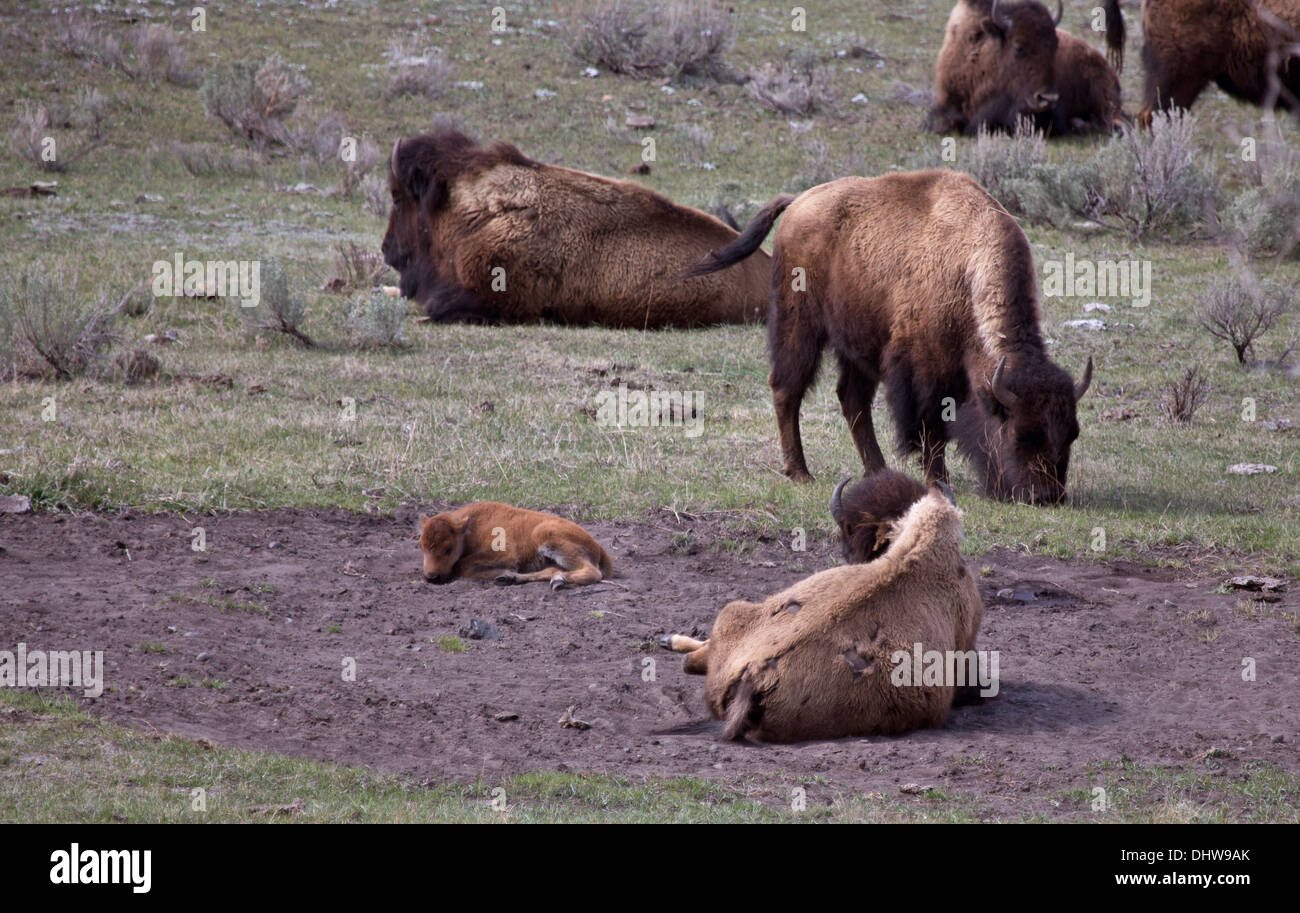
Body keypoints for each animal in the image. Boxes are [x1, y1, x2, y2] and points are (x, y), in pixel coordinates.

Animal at [418, 501, 612, 590]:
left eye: (448, 548)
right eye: (421, 546)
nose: (431, 576)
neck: (471, 527)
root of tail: (597, 545)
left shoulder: (506, 554)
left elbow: (462, 565)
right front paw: (504, 574)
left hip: (548, 537)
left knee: (593, 572)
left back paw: (559, 580)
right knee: (551, 569)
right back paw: (512, 578)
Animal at [684, 170, 1093, 504]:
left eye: (1072, 433)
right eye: (1022, 434)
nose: (1047, 497)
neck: (967, 270)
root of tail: (799, 200)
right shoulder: (924, 371)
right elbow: (930, 431)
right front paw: (939, 483)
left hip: (856, 344)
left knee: (851, 399)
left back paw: (876, 470)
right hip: (799, 324)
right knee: (787, 389)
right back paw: (800, 472)